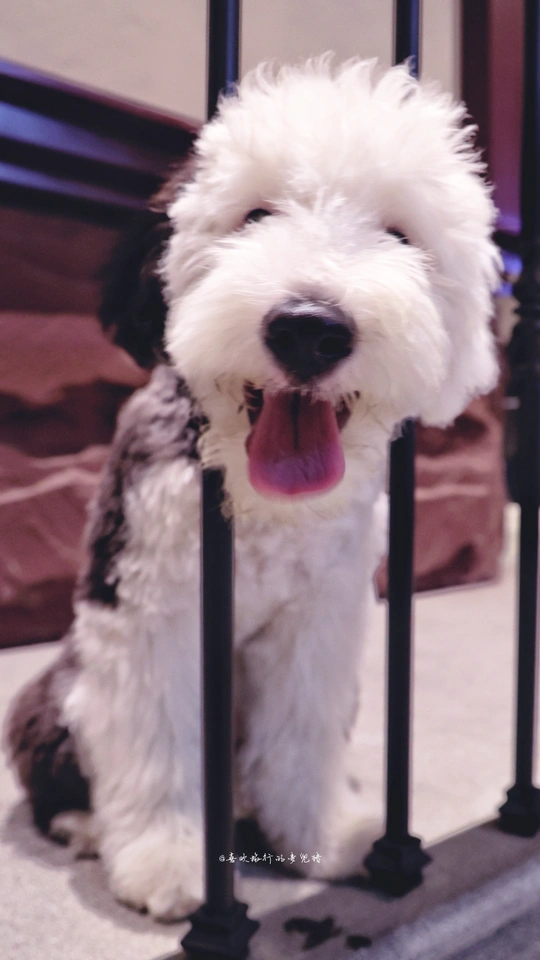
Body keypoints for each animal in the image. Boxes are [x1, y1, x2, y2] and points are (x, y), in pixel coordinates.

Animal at [4, 58, 500, 922]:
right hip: (55, 689)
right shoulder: (149, 614)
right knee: (61, 773)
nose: (310, 326)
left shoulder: (318, 622)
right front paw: (170, 862)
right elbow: (157, 743)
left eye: (400, 236)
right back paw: (89, 827)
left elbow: (300, 736)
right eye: (255, 215)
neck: (260, 500)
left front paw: (320, 836)